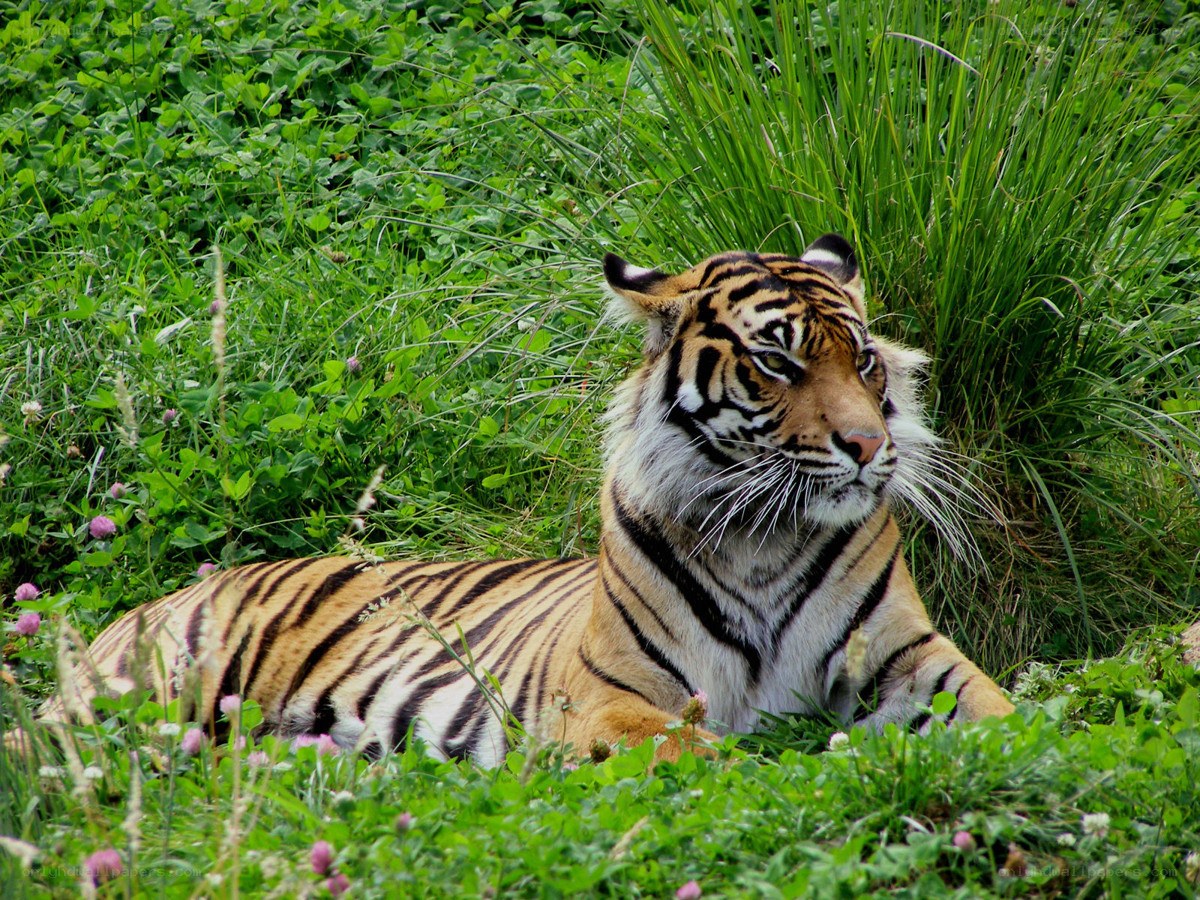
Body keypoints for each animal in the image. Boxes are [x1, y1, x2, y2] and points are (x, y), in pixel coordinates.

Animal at [34, 234, 1013, 765]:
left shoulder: (908, 659)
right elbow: (687, 746)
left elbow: (1003, 711)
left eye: (866, 361)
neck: (765, 535)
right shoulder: (611, 693)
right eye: (778, 361)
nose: (871, 448)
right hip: (145, 689)